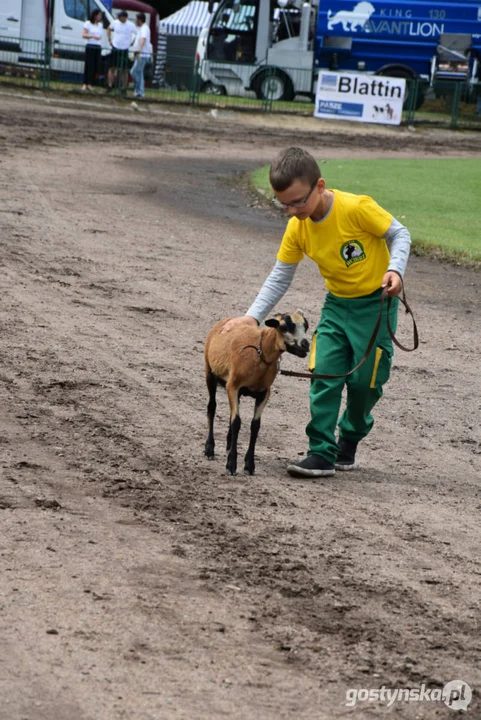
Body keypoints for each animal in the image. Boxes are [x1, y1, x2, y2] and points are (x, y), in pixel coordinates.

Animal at [202, 310, 308, 476]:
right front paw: (231, 464)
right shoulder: (233, 386)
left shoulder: (264, 393)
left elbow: (255, 425)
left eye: (306, 326)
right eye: (284, 326)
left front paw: (249, 465)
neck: (260, 352)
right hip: (210, 372)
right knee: (212, 407)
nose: (306, 345)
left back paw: (228, 443)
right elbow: (237, 422)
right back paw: (209, 449)